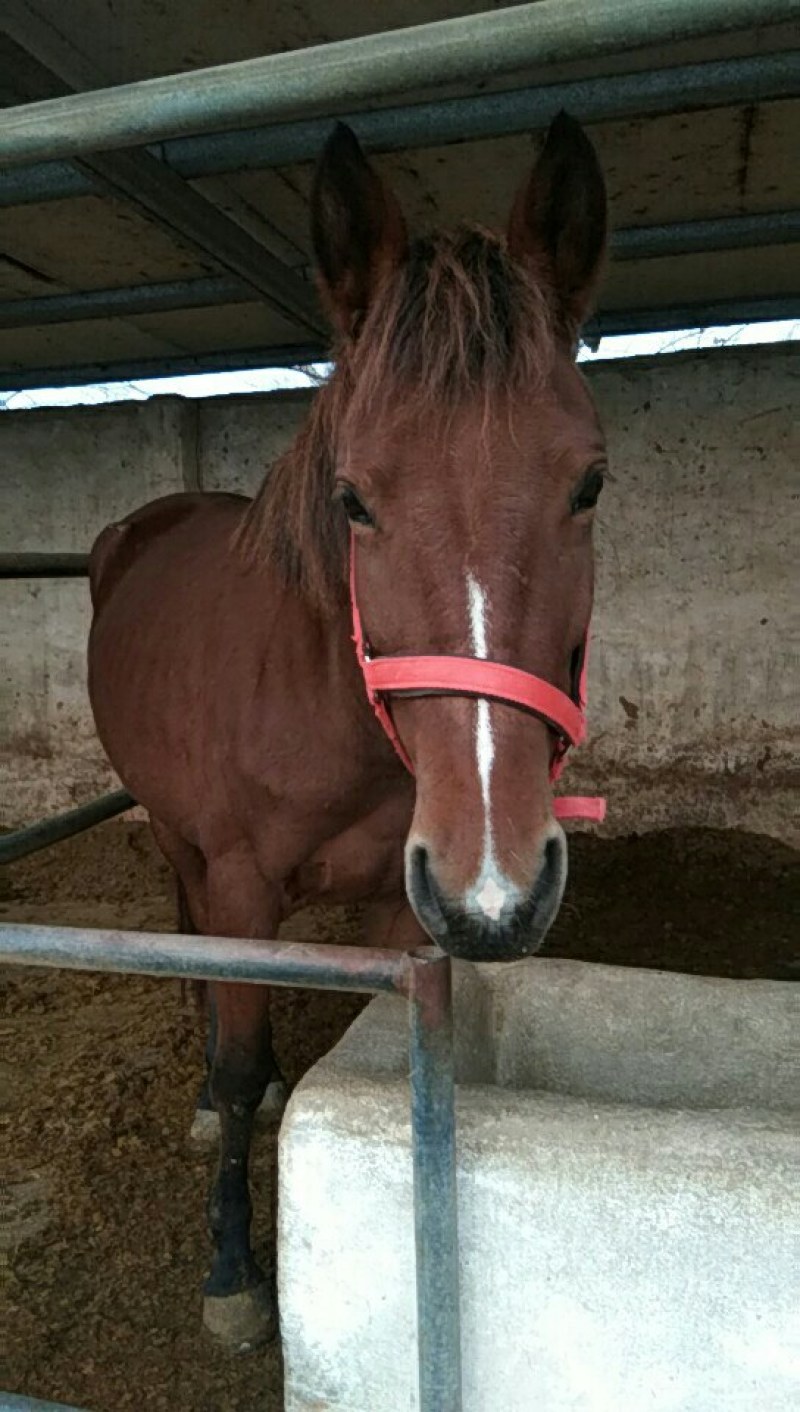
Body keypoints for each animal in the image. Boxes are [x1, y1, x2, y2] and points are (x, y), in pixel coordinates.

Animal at [87, 113, 609, 1348]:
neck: (319, 697)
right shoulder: (242, 885)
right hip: (179, 842)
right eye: (353, 499)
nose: (495, 886)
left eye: (591, 483)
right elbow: (239, 1066)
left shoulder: (398, 909)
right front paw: (233, 1269)